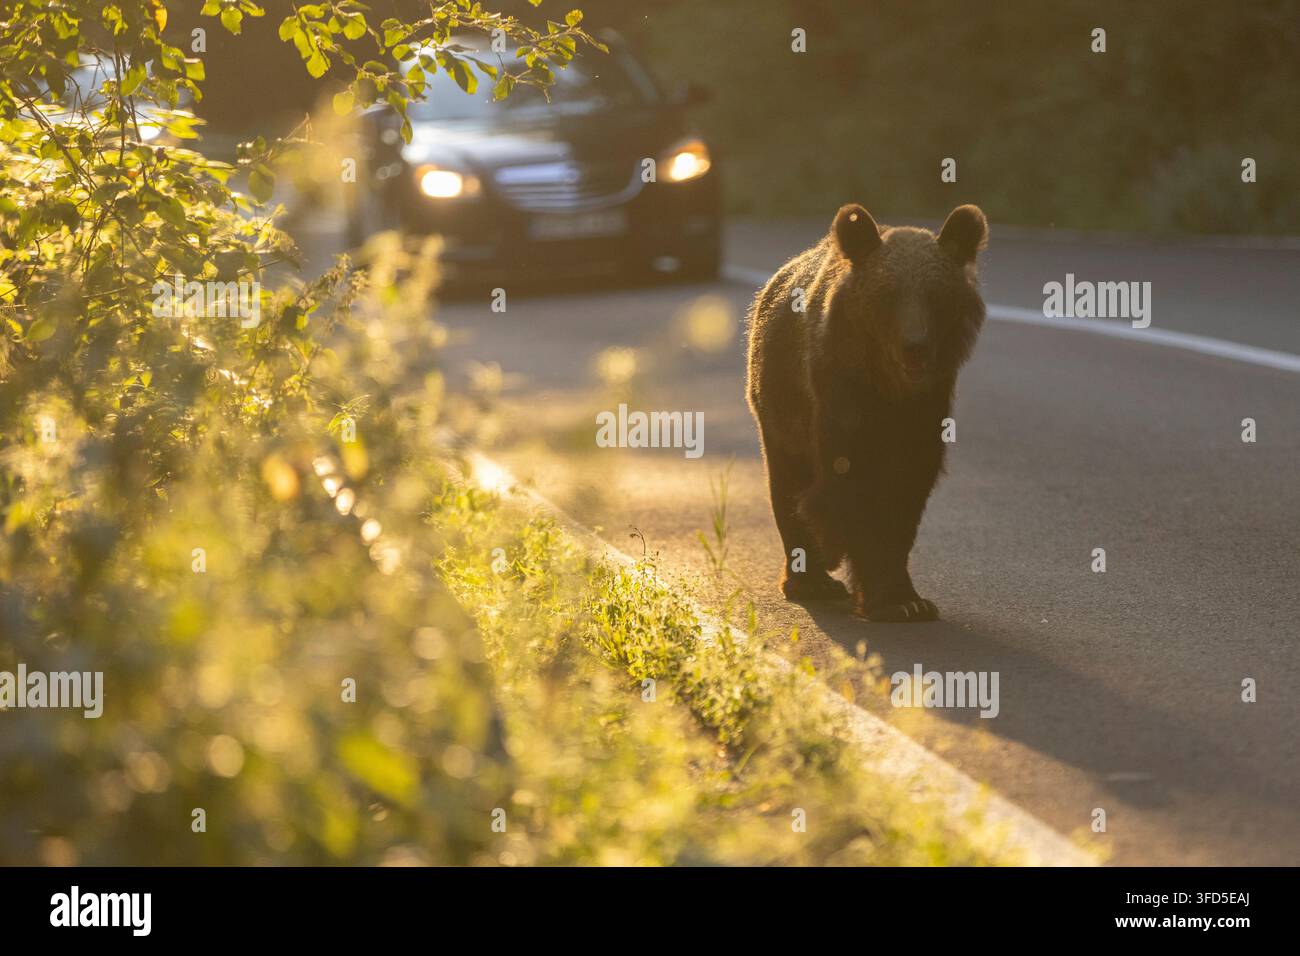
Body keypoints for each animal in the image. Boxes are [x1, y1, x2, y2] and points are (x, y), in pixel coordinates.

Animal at [745, 203, 987, 622]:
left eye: (936, 294)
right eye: (888, 294)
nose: (914, 346)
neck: (889, 386)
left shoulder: (927, 405)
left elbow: (905, 489)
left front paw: (908, 598)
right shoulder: (839, 393)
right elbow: (850, 481)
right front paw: (886, 595)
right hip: (778, 402)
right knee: (787, 482)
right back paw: (811, 579)